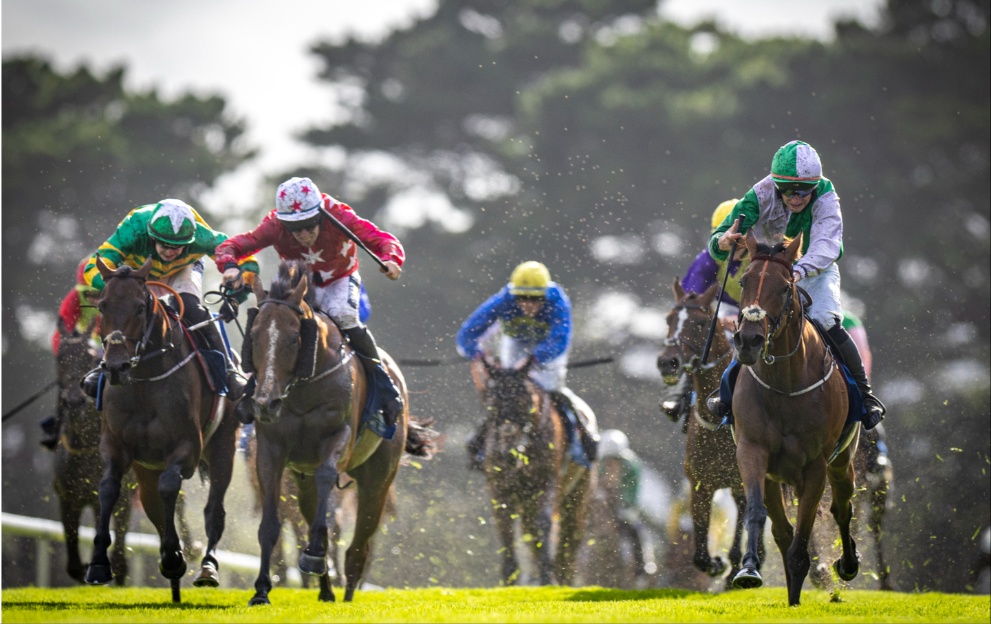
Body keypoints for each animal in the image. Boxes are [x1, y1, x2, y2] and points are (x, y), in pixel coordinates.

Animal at [85, 256, 240, 604]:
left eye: (140, 307)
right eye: (102, 305)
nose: (116, 367)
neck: (144, 381)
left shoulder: (187, 448)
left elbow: (171, 487)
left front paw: (173, 558)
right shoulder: (115, 445)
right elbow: (108, 488)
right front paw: (98, 564)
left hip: (223, 444)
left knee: (214, 510)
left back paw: (207, 568)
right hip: (146, 467)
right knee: (153, 504)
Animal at [243, 260, 434, 604]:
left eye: (294, 338)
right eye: (254, 336)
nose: (265, 402)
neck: (303, 389)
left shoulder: (339, 438)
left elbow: (326, 478)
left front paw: (314, 556)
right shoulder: (271, 451)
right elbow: (270, 525)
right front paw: (261, 590)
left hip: (377, 478)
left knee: (359, 547)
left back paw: (345, 595)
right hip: (303, 482)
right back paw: (325, 590)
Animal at [478, 358, 588, 588]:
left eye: (525, 400)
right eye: (492, 402)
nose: (509, 454)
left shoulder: (546, 483)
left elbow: (544, 523)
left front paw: (548, 577)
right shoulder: (499, 489)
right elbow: (506, 528)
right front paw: (510, 578)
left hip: (577, 494)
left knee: (570, 535)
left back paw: (562, 577)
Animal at [660, 276, 752, 588]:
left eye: (701, 323)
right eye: (668, 319)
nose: (668, 362)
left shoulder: (743, 482)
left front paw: (734, 566)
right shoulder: (700, 484)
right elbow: (698, 550)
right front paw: (714, 563)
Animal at [732, 233, 856, 604]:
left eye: (785, 287)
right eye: (743, 281)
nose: (749, 340)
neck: (785, 384)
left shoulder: (816, 465)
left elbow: (805, 529)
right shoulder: (752, 449)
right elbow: (759, 512)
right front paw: (748, 570)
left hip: (841, 460)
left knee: (842, 507)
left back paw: (847, 565)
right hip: (777, 476)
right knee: (782, 530)